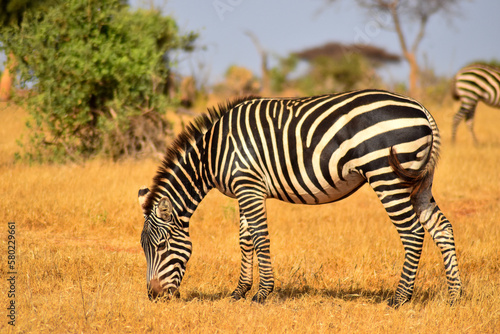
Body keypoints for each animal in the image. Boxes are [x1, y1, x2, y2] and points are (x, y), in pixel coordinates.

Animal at [139, 89, 462, 308]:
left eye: (162, 246)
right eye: (144, 248)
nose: (153, 297)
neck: (211, 153)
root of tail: (422, 109)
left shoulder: (249, 186)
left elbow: (260, 237)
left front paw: (262, 293)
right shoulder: (245, 188)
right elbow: (244, 239)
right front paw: (239, 291)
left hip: (386, 175)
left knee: (412, 232)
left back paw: (400, 298)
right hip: (419, 181)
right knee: (442, 228)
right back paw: (455, 295)